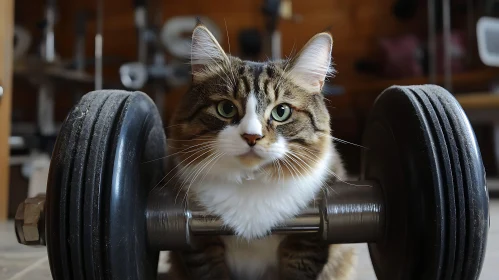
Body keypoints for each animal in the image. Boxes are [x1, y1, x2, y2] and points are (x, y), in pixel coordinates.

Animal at [158, 24, 358, 280]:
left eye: (281, 111)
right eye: (226, 108)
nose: (251, 136)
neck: (250, 183)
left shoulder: (307, 243)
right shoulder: (198, 244)